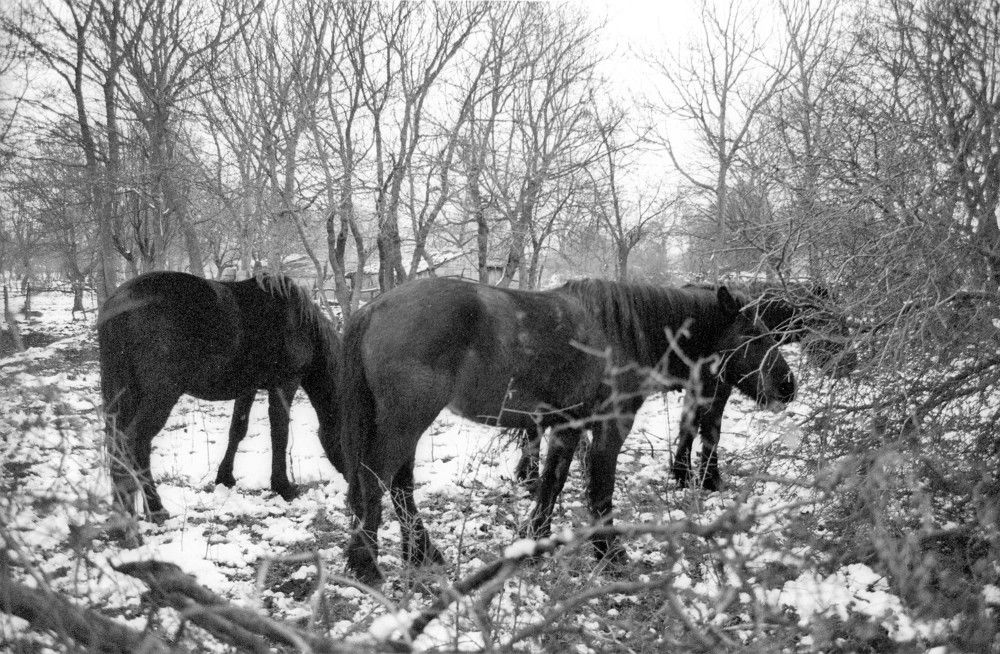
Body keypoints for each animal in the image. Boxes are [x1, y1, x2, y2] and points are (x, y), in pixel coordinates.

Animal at [98, 271, 343, 526]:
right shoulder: (285, 383)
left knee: (126, 443)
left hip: (125, 394)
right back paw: (148, 512)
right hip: (160, 396)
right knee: (133, 443)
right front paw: (283, 487)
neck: (302, 324)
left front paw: (225, 477)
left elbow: (238, 429)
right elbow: (280, 432)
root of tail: (120, 300)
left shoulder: (247, 388)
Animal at [339, 277, 796, 584]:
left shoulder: (567, 427)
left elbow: (551, 484)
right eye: (753, 334)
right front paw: (609, 554)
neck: (621, 331)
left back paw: (421, 554)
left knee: (399, 485)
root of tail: (374, 308)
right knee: (377, 481)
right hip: (407, 420)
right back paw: (368, 566)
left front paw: (532, 546)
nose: (788, 385)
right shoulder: (610, 427)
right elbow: (600, 488)